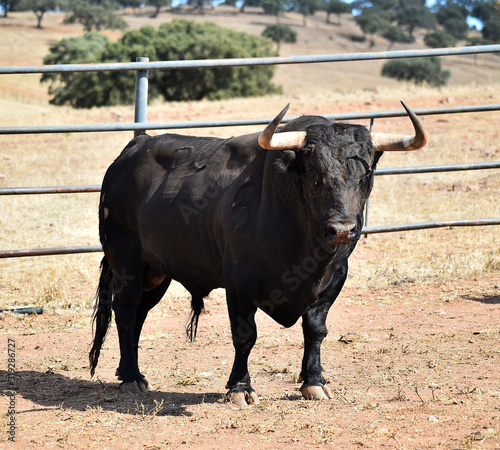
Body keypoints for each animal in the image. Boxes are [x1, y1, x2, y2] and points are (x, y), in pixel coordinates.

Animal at [89, 102, 426, 404]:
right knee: (126, 310)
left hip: (156, 272)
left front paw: (314, 381)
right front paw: (240, 387)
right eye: (314, 174)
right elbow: (245, 335)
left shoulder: (334, 278)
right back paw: (131, 377)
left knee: (140, 313)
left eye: (365, 176)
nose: (342, 229)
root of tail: (134, 147)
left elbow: (315, 329)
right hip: (127, 261)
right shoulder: (239, 283)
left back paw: (130, 372)